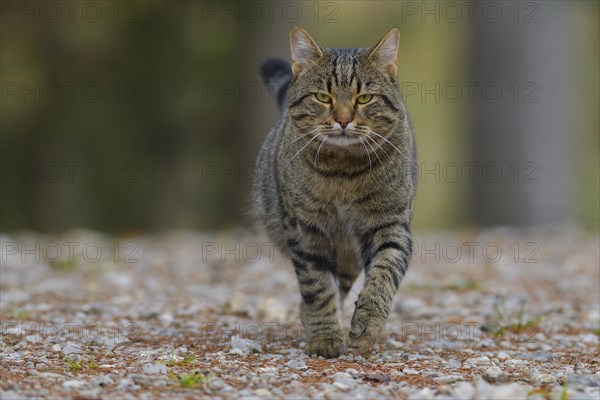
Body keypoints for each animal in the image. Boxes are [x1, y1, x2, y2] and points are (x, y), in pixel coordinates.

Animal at [251, 25, 414, 356]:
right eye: (323, 97)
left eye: (364, 98)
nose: (343, 120)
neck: (343, 170)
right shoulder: (306, 229)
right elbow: (317, 287)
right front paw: (325, 337)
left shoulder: (391, 224)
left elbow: (383, 275)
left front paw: (366, 324)